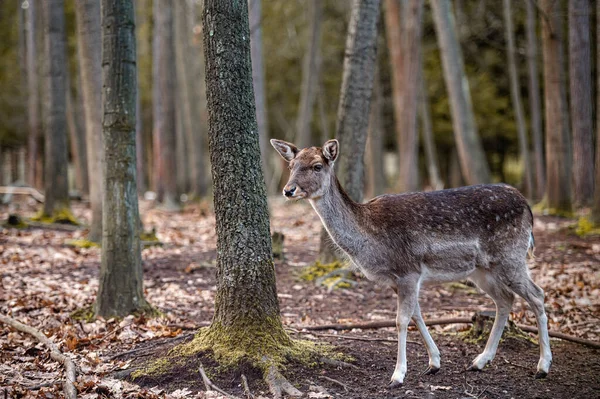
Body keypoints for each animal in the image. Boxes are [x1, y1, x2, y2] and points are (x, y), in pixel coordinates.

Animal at [272, 140, 552, 388]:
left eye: (317, 166)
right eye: (292, 165)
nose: (288, 190)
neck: (371, 245)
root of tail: (528, 207)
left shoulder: (408, 271)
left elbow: (401, 320)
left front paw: (397, 376)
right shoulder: (398, 279)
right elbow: (416, 314)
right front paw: (434, 363)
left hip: (511, 257)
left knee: (537, 295)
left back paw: (542, 366)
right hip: (483, 270)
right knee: (505, 299)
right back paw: (480, 361)